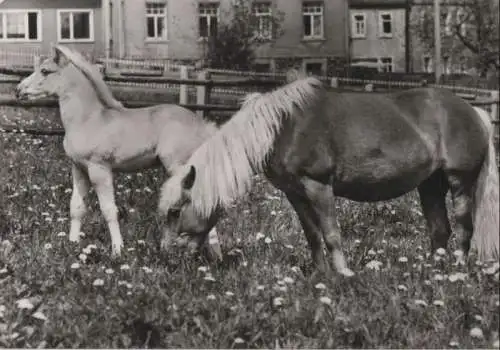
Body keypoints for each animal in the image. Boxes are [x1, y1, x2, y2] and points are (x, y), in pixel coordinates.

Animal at [158, 77, 498, 276]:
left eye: (175, 211)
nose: (167, 257)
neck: (283, 128)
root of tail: (474, 111)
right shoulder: (294, 193)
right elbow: (312, 234)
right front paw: (321, 276)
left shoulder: (318, 186)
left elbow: (332, 232)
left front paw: (344, 275)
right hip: (430, 185)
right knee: (439, 230)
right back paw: (433, 272)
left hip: (460, 182)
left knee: (464, 227)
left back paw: (456, 270)